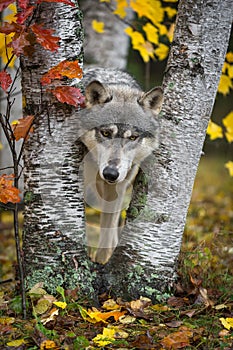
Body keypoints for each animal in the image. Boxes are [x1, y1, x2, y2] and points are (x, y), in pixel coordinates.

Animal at [77, 67, 164, 264]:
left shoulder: (116, 192)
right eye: (106, 133)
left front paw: (101, 261)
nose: (110, 174)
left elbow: (107, 230)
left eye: (132, 137)